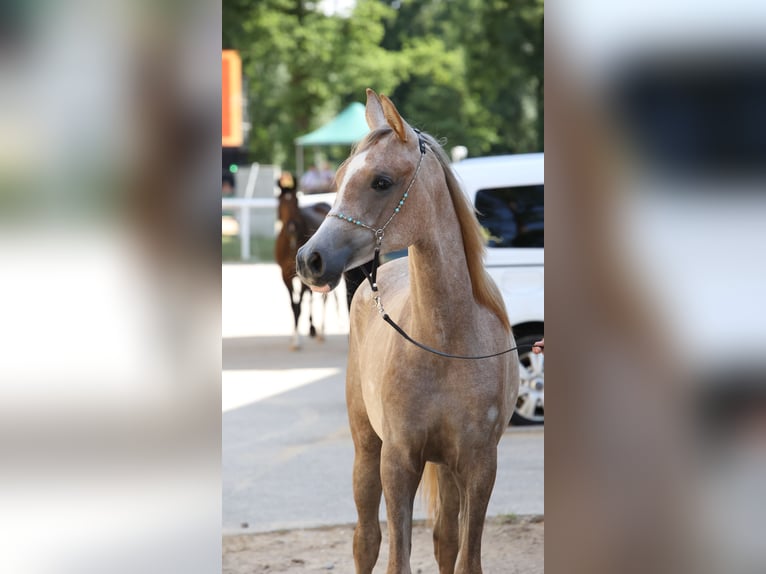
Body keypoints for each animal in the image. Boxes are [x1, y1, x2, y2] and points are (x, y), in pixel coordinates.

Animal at [274, 182, 331, 350]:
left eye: (296, 201)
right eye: (280, 201)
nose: (291, 227)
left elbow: (299, 305)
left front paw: (297, 340)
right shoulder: (285, 275)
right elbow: (294, 305)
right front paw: (295, 337)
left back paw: (320, 332)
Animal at [296, 89, 519, 574]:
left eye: (381, 181)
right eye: (338, 177)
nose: (309, 259)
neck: (446, 341)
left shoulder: (479, 465)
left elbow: (465, 556)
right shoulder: (397, 461)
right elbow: (396, 556)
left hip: (447, 468)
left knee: (444, 539)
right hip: (366, 449)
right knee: (366, 540)